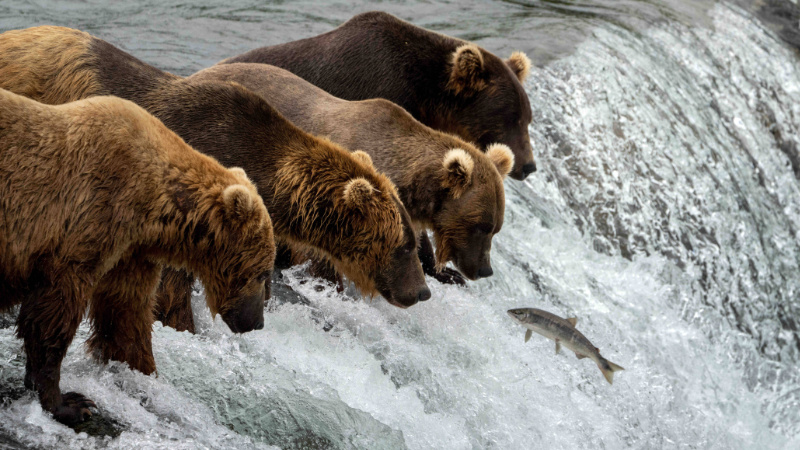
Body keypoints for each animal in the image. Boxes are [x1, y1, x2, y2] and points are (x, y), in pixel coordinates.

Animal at [0, 88, 276, 426]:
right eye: (262, 272)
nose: (257, 322)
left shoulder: (131, 250)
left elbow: (126, 313)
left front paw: (143, 372)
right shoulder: (84, 218)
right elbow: (54, 311)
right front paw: (69, 402)